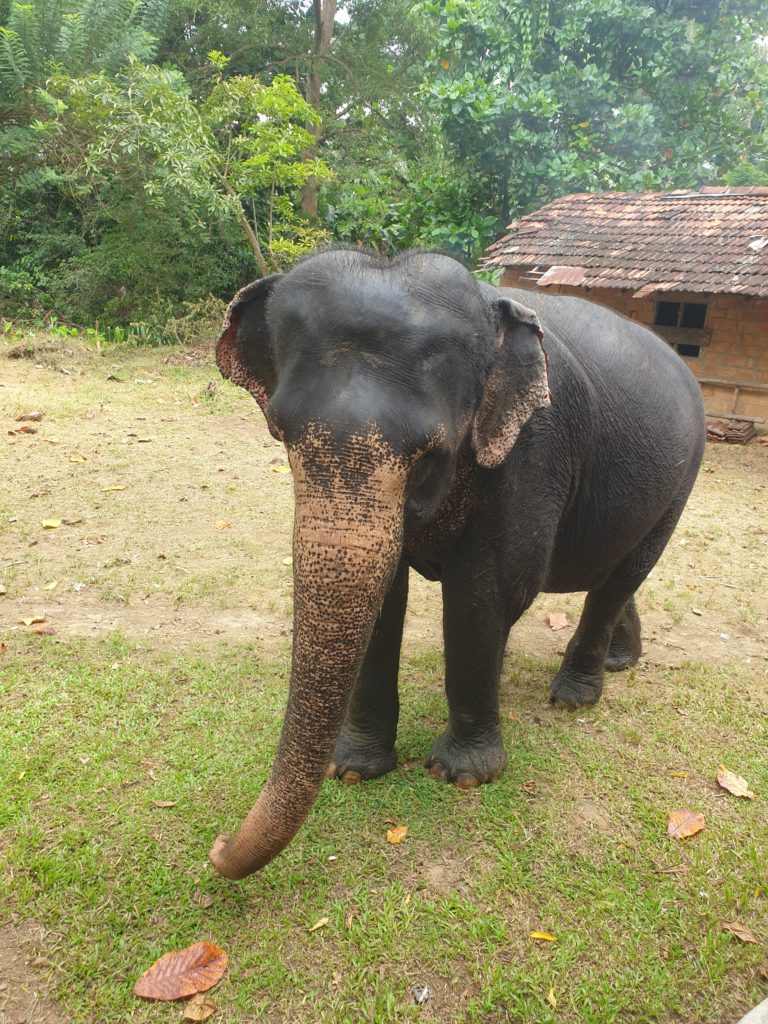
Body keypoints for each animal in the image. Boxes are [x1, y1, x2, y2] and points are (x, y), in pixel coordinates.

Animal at [207, 247, 708, 880]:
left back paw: (573, 696)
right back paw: (619, 662)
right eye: (279, 432)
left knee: (622, 576)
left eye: (430, 453)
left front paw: (462, 775)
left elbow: (485, 592)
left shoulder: (532, 451)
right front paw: (354, 769)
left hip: (683, 478)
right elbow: (386, 598)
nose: (217, 845)